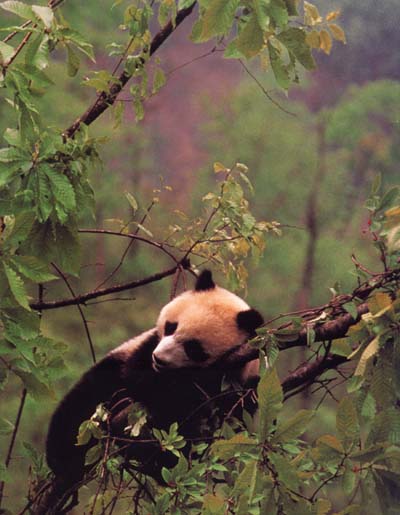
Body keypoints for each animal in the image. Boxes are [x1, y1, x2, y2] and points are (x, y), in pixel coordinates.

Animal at [45, 270, 264, 504]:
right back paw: (64, 456)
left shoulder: (240, 388)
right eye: (171, 327)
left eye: (193, 348)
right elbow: (142, 380)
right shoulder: (145, 349)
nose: (159, 358)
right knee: (81, 405)